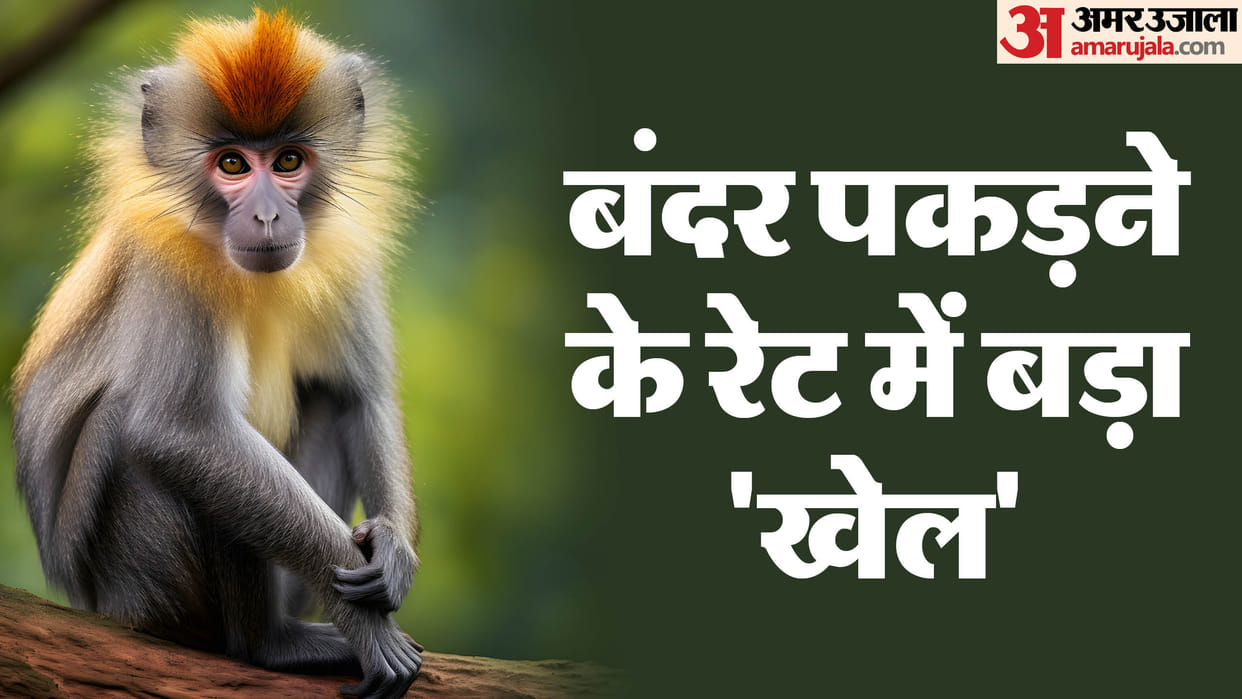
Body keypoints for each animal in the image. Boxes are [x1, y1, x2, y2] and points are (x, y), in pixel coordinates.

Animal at [11, 10, 422, 699]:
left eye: (288, 161)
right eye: (232, 163)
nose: (267, 216)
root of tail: (97, 604)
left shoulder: (346, 252)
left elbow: (359, 396)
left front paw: (392, 548)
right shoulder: (173, 264)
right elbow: (184, 432)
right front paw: (369, 630)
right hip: (139, 586)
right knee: (144, 436)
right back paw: (272, 646)